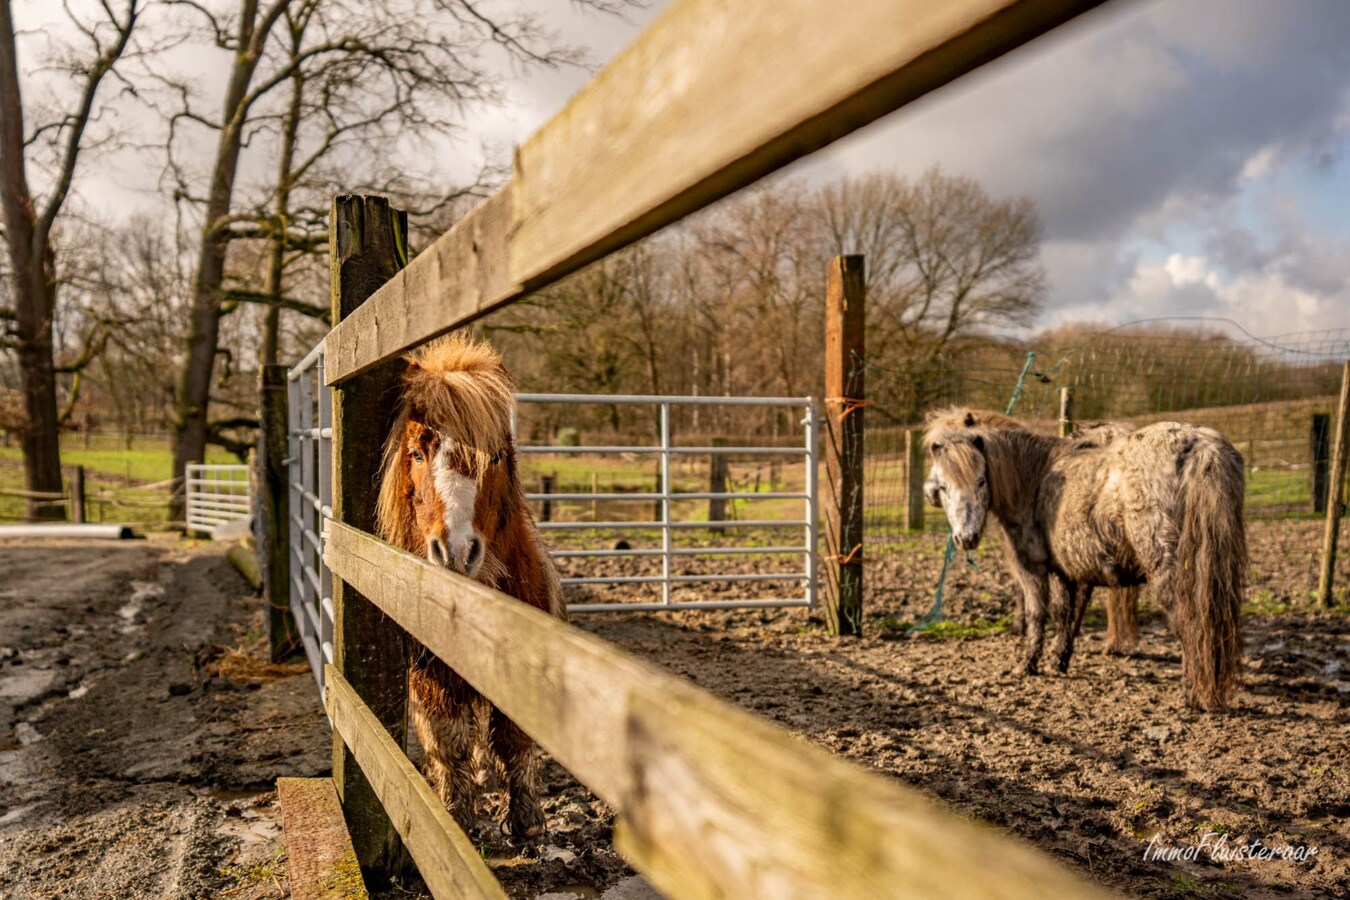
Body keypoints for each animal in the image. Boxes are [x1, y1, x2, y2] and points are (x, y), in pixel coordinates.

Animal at [378, 334, 567, 841]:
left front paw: (526, 821)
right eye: (417, 453)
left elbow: (514, 738)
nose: (457, 551)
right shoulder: (431, 678)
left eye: (495, 455)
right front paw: (457, 816)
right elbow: (448, 743)